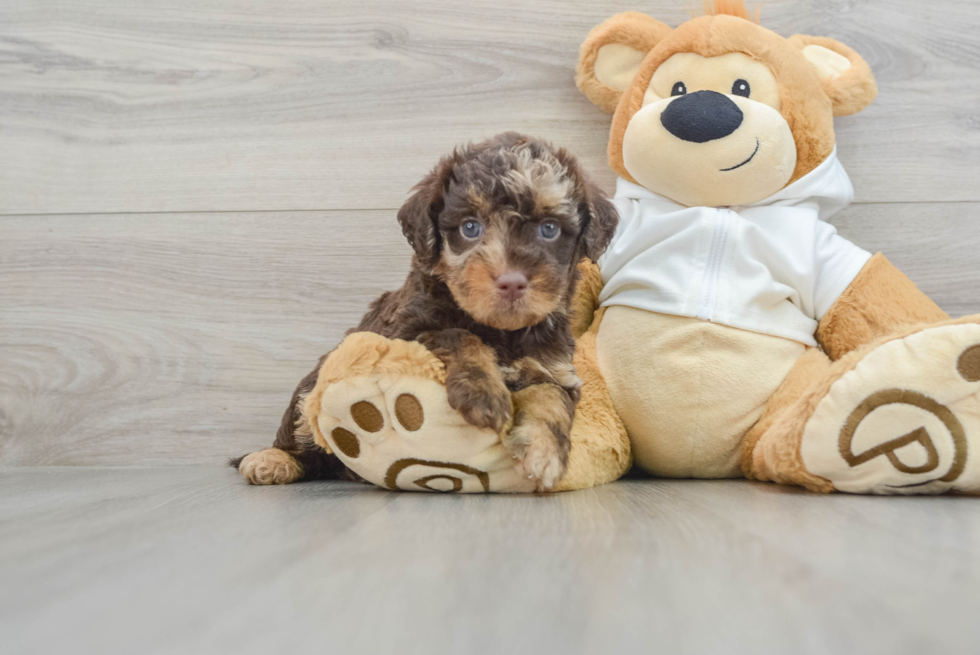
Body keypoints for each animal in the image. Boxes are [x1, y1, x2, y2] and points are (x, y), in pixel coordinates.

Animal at [233, 133, 616, 490]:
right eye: (470, 227)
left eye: (549, 229)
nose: (511, 282)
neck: (502, 331)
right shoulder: (404, 332)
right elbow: (458, 334)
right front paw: (484, 393)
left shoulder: (554, 368)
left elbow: (552, 398)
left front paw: (544, 452)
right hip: (310, 389)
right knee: (302, 435)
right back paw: (272, 460)